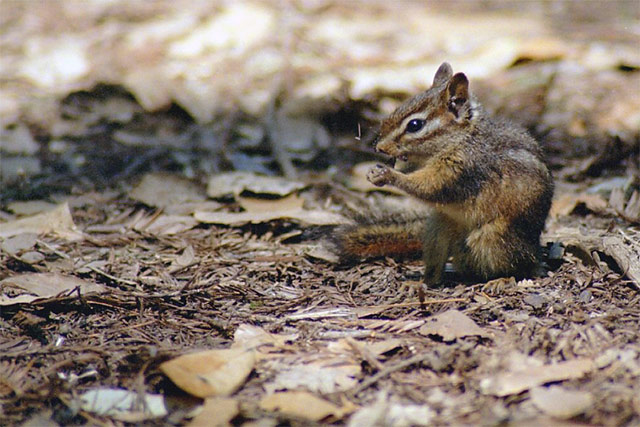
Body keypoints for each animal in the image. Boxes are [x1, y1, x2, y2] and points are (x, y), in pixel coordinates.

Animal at [334, 62, 554, 287]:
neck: (461, 139)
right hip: (437, 229)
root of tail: (535, 251)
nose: (379, 147)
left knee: (518, 266)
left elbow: (429, 186)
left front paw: (389, 175)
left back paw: (501, 279)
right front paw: (376, 171)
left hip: (494, 238)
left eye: (415, 125)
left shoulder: (460, 169)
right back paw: (422, 283)